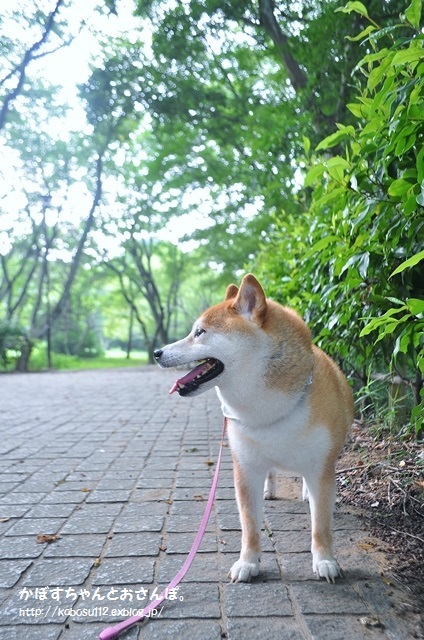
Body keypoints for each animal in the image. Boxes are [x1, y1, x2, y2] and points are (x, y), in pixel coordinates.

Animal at [155, 276, 354, 584]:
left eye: (199, 332)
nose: (157, 353)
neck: (269, 411)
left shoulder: (321, 467)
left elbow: (320, 525)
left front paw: (325, 561)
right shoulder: (246, 468)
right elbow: (249, 525)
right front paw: (248, 563)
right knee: (272, 472)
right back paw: (270, 490)